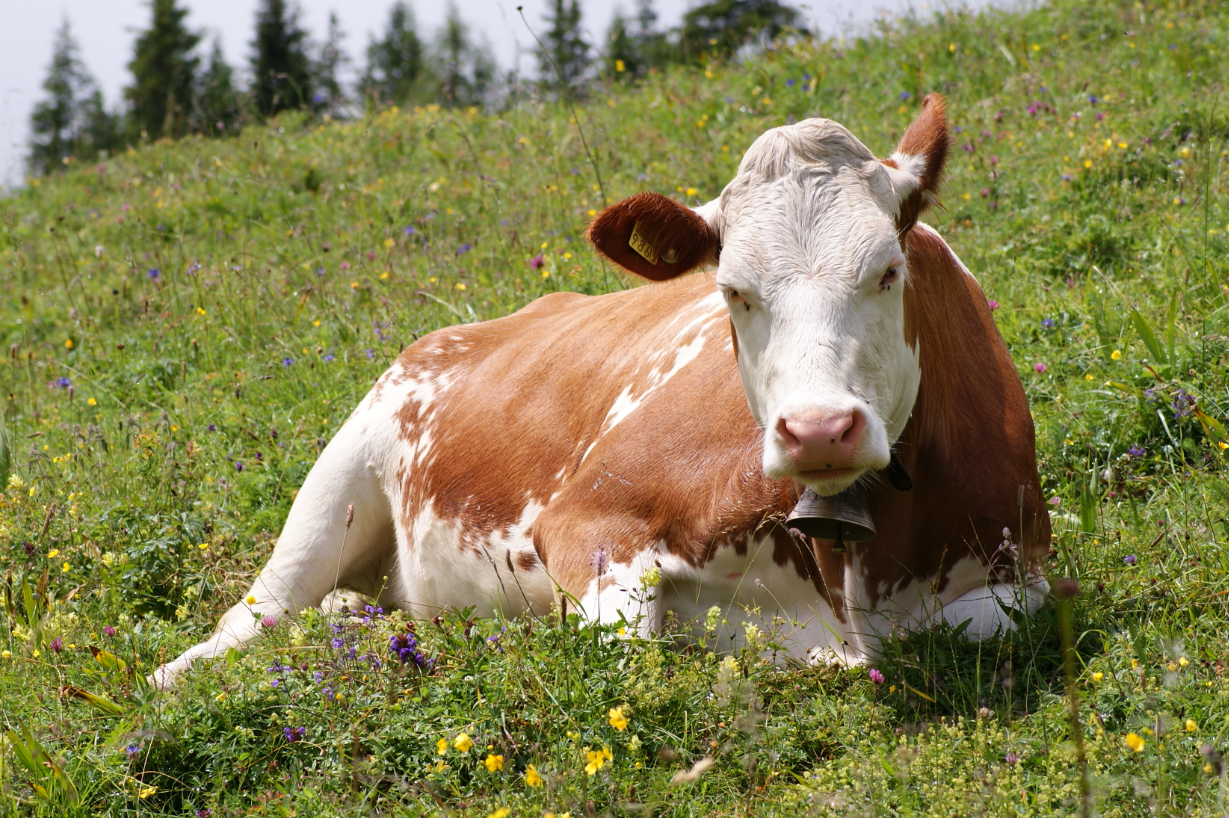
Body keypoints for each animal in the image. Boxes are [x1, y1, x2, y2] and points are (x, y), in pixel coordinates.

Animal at [153, 92, 1052, 682]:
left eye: (887, 270)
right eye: (732, 290)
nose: (818, 430)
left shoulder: (1024, 573)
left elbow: (997, 621)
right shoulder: (587, 519)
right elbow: (626, 648)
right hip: (337, 483)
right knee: (250, 618)